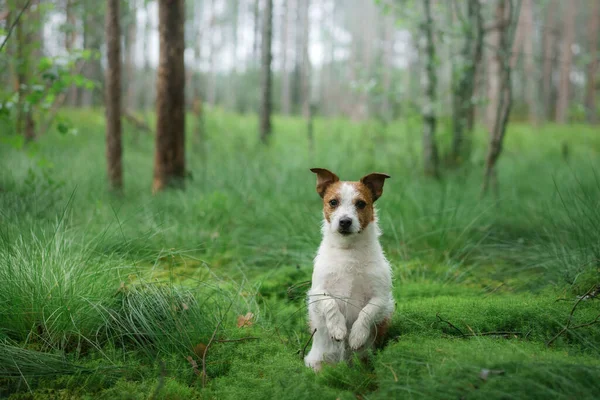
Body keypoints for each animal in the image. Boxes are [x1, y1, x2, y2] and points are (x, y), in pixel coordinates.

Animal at [304, 166, 394, 372]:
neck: (349, 250)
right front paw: (337, 328)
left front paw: (357, 336)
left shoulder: (381, 297)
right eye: (333, 202)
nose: (345, 221)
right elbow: (330, 303)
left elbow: (367, 312)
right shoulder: (318, 291)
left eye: (360, 203)